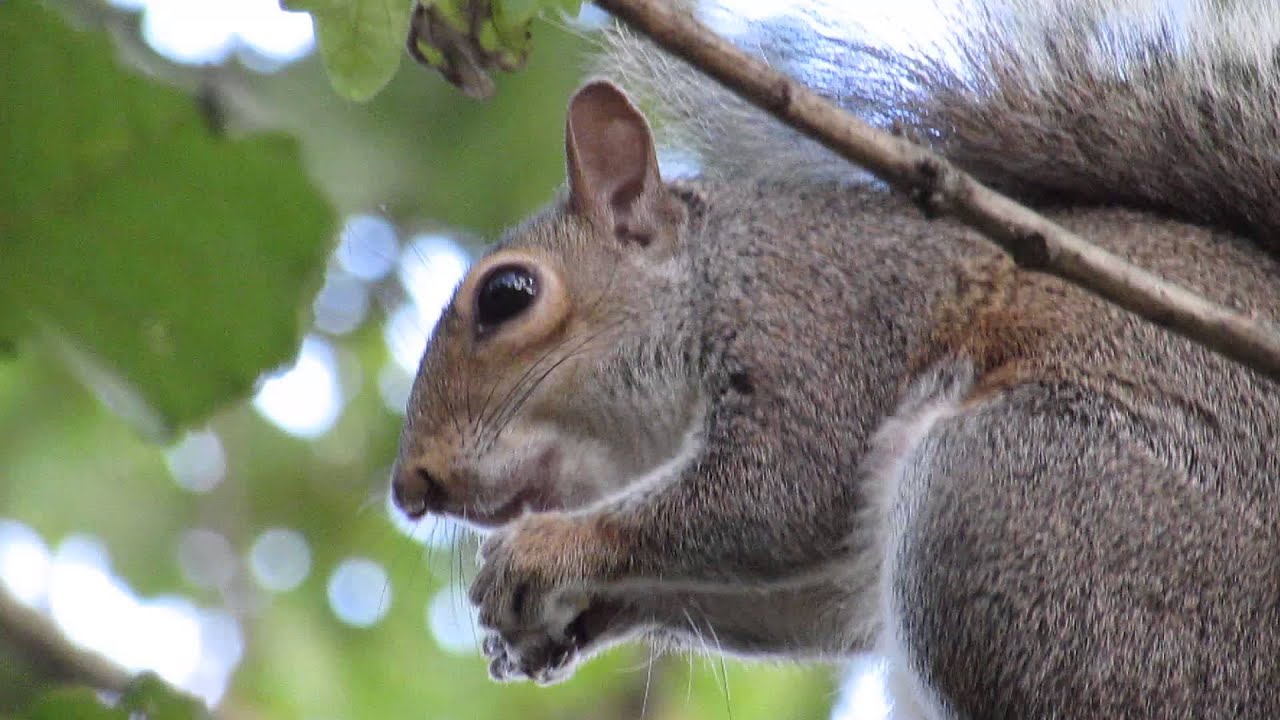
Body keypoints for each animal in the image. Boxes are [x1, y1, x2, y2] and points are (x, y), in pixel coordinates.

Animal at [391, 0, 1280, 716]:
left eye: (507, 295)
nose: (412, 487)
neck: (717, 275)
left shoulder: (820, 326)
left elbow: (773, 494)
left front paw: (544, 551)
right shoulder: (841, 559)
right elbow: (802, 592)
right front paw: (553, 620)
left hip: (1019, 505)